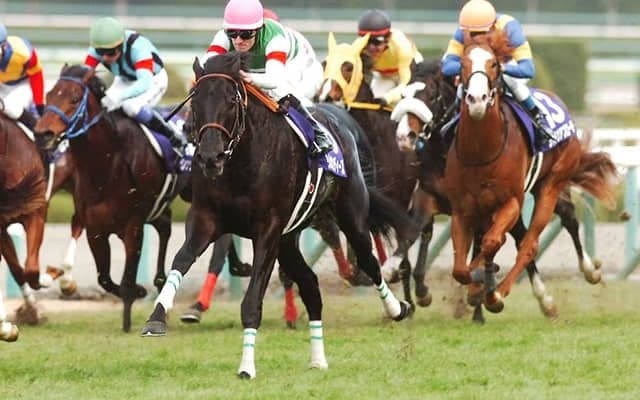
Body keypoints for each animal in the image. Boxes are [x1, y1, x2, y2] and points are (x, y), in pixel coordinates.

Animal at [34, 65, 190, 332]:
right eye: (49, 95)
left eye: (74, 98)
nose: (43, 133)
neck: (106, 164)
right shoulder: (96, 230)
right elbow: (105, 279)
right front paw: (140, 291)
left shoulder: (133, 226)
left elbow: (126, 280)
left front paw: (128, 319)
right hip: (157, 207)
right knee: (166, 224)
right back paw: (160, 281)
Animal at [141, 52, 415, 379]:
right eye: (195, 102)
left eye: (231, 102)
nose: (210, 158)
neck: (241, 164)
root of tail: (341, 123)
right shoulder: (206, 219)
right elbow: (182, 259)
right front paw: (157, 317)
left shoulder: (267, 231)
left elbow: (251, 303)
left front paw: (246, 366)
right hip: (287, 241)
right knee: (310, 286)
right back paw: (318, 360)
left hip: (350, 216)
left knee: (369, 261)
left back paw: (397, 309)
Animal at [393, 59, 605, 322]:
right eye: (403, 94)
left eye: (432, 95)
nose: (405, 136)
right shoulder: (431, 196)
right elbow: (417, 231)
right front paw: (419, 288)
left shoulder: (486, 207)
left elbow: (485, 246)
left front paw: (479, 297)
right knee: (551, 222)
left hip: (549, 183)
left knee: (548, 228)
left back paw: (579, 277)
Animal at [444, 31, 617, 313]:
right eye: (462, 65)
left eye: (494, 64)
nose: (477, 100)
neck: (481, 151)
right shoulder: (462, 209)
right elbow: (460, 268)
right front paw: (476, 283)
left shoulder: (511, 202)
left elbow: (492, 242)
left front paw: (487, 288)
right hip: (539, 184)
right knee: (565, 215)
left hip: (551, 184)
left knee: (529, 244)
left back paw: (512, 293)